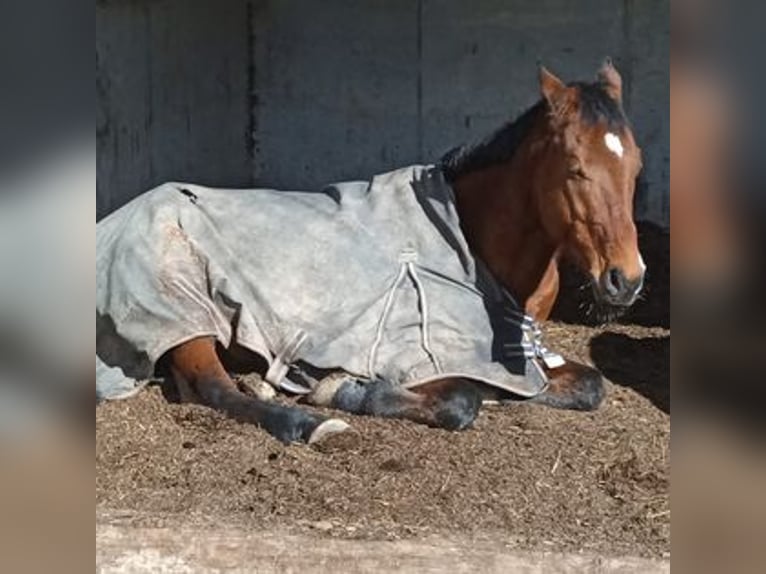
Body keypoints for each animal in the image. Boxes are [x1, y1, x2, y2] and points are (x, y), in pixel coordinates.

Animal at [166, 60, 640, 444]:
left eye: (635, 166)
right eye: (575, 168)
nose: (627, 279)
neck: (474, 246)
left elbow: (590, 385)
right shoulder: (418, 356)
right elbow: (461, 399)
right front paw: (341, 388)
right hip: (191, 324)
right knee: (213, 388)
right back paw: (308, 424)